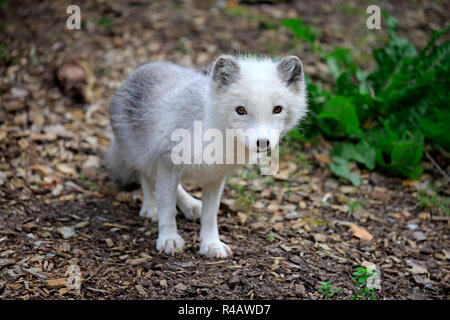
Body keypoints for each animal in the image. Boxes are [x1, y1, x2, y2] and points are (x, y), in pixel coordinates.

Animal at [106, 54, 306, 258]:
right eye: (240, 110)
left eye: (277, 109)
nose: (263, 142)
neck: (211, 128)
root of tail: (142, 68)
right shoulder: (167, 164)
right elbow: (168, 209)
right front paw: (169, 239)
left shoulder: (215, 176)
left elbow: (210, 215)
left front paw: (211, 244)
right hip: (140, 151)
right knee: (146, 177)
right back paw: (151, 206)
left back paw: (191, 206)